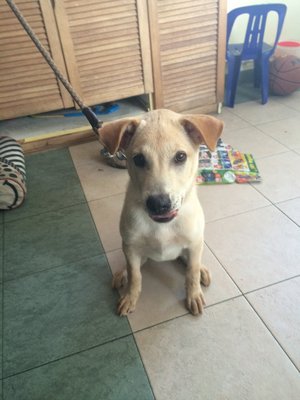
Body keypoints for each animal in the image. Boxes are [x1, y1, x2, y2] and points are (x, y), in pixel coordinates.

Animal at [100, 108, 223, 316]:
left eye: (180, 157)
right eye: (139, 159)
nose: (159, 204)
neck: (163, 226)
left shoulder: (194, 243)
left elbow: (191, 272)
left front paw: (193, 294)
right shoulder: (130, 247)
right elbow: (135, 275)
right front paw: (130, 297)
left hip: (195, 245)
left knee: (193, 263)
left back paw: (202, 271)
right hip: (136, 252)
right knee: (131, 268)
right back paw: (121, 274)